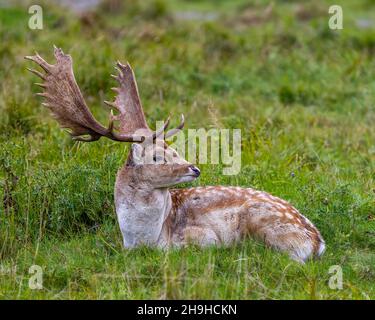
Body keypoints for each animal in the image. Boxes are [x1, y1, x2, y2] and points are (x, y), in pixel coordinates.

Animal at [26, 47, 326, 262]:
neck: (141, 238)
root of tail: (317, 243)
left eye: (176, 149)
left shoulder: (203, 236)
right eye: (157, 157)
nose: (194, 168)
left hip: (265, 224)